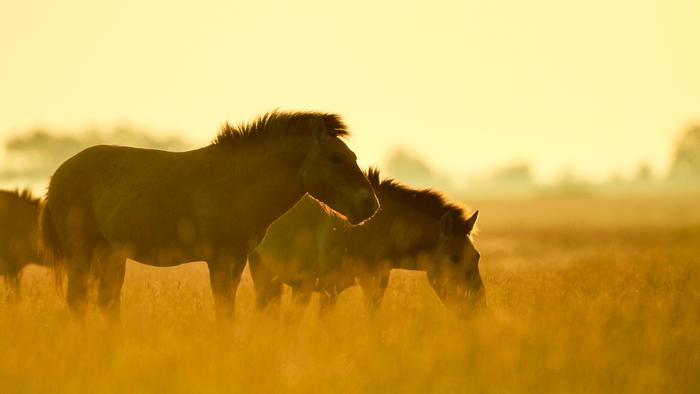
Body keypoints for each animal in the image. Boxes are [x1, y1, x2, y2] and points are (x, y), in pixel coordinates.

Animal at [39, 110, 378, 320]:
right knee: (78, 300)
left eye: (352, 156)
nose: (370, 204)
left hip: (110, 252)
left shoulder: (237, 260)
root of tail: (57, 175)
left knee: (106, 302)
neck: (239, 182)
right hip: (81, 250)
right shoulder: (220, 258)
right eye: (336, 159)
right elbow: (224, 311)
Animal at [249, 168, 484, 318]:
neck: (371, 230)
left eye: (477, 256)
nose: (478, 305)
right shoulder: (329, 290)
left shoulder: (374, 287)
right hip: (263, 273)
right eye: (454, 257)